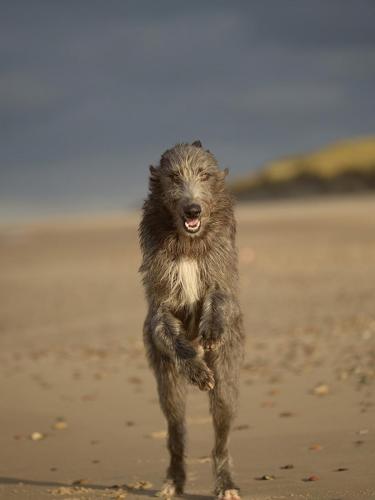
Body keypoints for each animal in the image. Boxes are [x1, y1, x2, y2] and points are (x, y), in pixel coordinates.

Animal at [140, 141, 245, 500]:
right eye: (174, 176)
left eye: (204, 174)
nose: (193, 210)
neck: (188, 244)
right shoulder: (160, 302)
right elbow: (165, 327)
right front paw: (197, 370)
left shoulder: (221, 274)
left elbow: (220, 296)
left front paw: (211, 329)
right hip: (166, 380)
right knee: (176, 430)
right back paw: (174, 478)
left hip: (227, 374)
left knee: (222, 434)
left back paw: (226, 483)